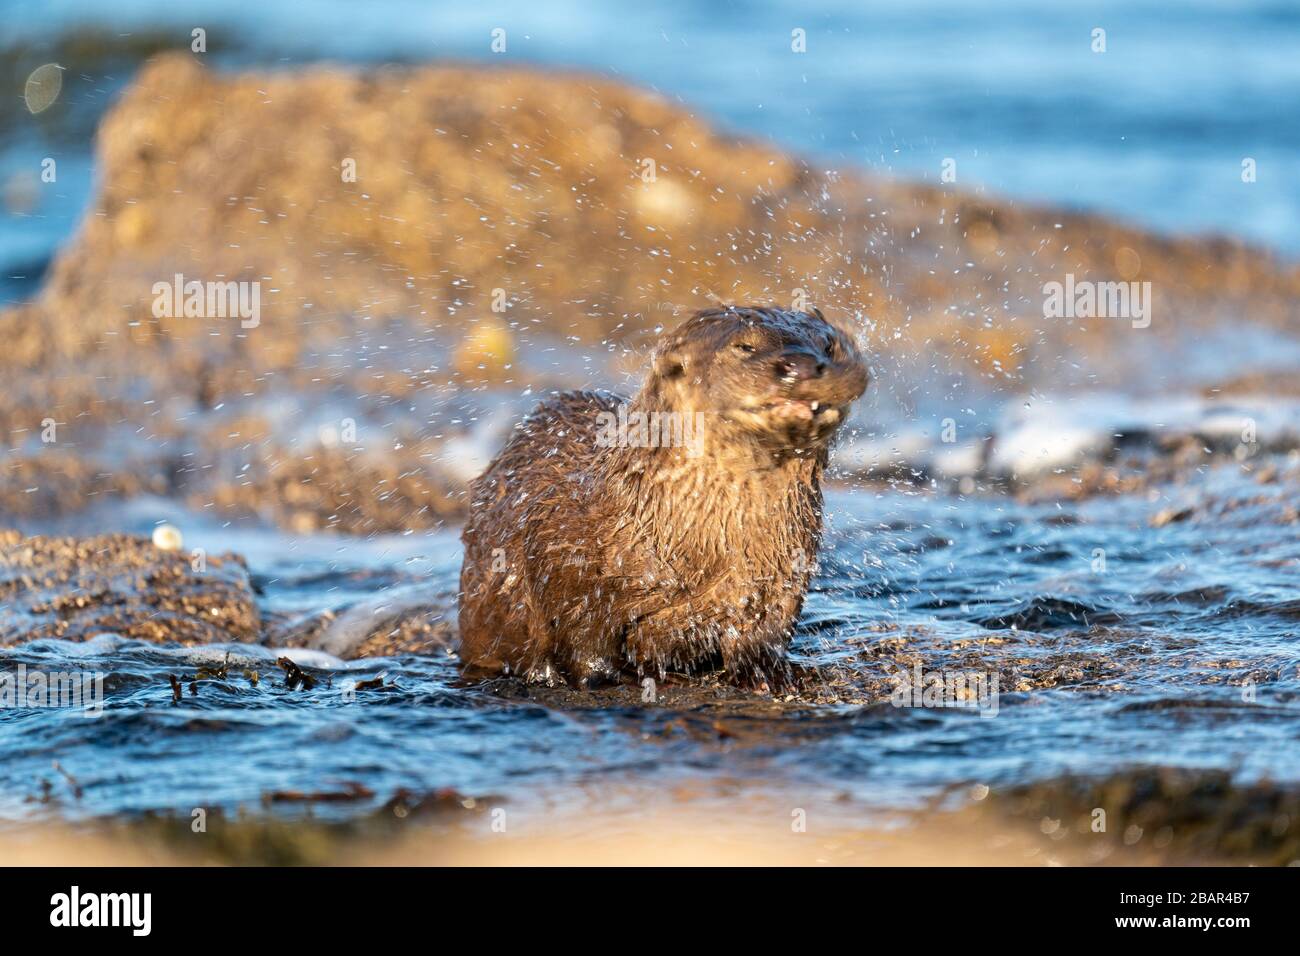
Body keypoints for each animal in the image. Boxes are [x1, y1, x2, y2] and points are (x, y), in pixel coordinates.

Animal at [458, 306, 869, 690]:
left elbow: (765, 630)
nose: (800, 366)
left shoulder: (783, 568)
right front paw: (618, 676)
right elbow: (582, 639)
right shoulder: (569, 563)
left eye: (828, 346)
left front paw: (770, 673)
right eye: (745, 347)